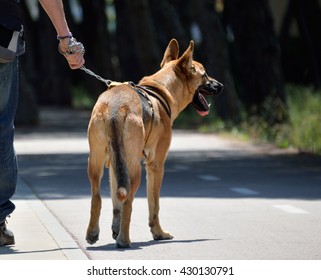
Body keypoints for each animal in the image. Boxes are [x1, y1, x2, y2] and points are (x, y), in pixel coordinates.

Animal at [86, 37, 224, 247]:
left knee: (98, 198)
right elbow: (154, 204)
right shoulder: (156, 165)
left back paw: (94, 233)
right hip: (134, 169)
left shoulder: (114, 167)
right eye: (205, 74)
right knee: (129, 201)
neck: (162, 88)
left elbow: (116, 202)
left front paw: (115, 229)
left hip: (96, 162)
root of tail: (115, 107)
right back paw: (124, 240)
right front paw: (158, 233)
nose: (221, 86)